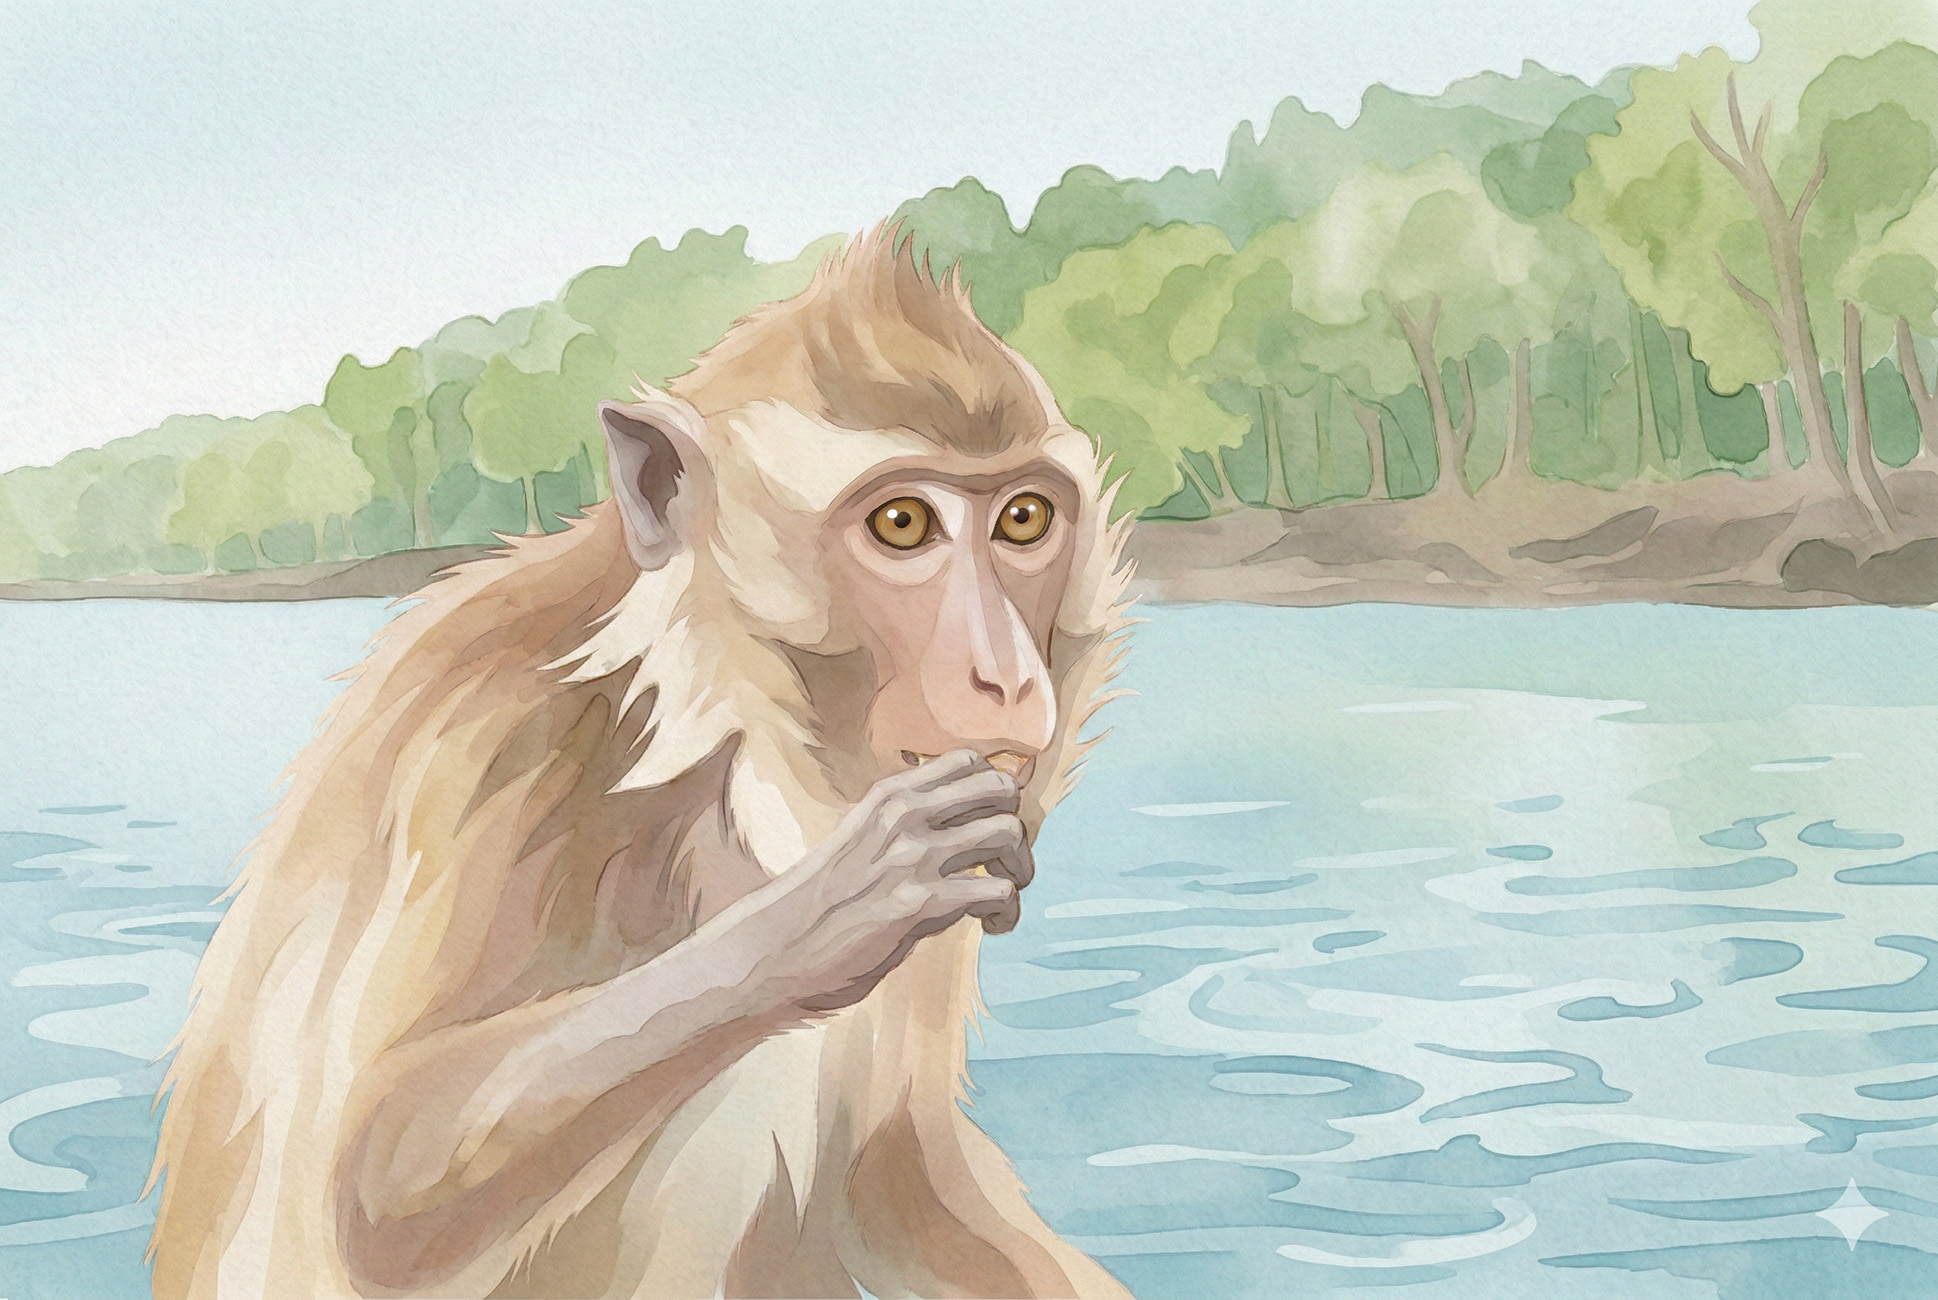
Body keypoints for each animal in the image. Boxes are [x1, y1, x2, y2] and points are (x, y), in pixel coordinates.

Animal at [142, 226, 1139, 1300]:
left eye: (1024, 520)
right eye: (903, 524)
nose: (1005, 673)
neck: (713, 740)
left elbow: (894, 1170)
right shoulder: (489, 751)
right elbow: (370, 1182)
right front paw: (813, 924)